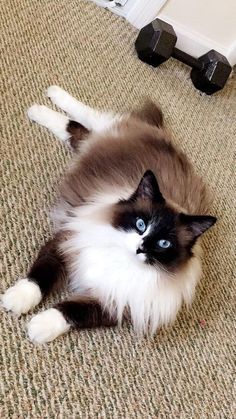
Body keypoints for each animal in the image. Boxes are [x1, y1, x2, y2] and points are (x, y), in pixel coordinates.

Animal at [1, 86, 216, 344]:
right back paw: (43, 101)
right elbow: (38, 279)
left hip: (91, 140)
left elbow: (69, 312)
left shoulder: (115, 304)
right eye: (140, 224)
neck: (120, 258)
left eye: (164, 243)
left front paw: (39, 328)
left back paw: (39, 107)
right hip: (106, 126)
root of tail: (161, 133)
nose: (140, 248)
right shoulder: (65, 243)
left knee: (76, 130)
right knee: (84, 117)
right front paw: (16, 301)